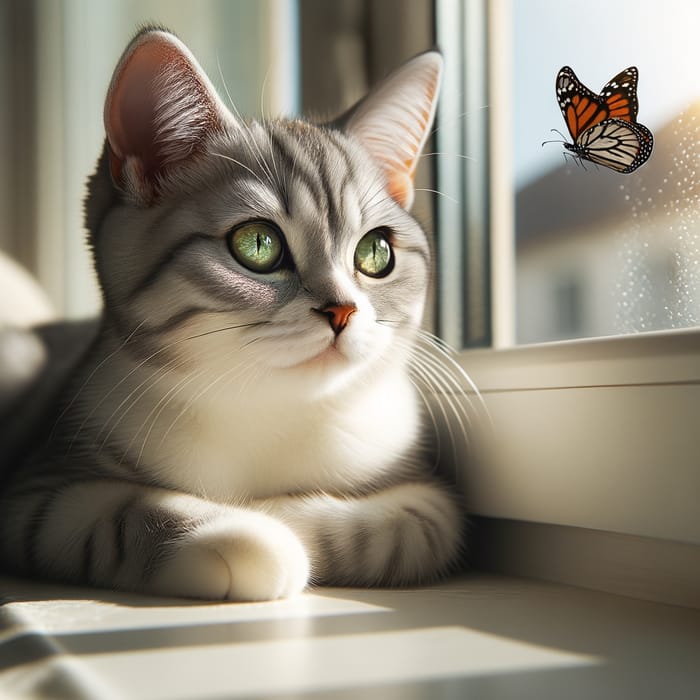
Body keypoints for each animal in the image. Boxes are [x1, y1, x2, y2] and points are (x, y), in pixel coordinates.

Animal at [0, 27, 464, 600]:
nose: (342, 311)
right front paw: (249, 531)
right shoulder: (36, 492)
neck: (269, 408)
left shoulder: (427, 493)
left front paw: (284, 513)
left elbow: (410, 531)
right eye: (258, 244)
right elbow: (119, 516)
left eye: (376, 253)